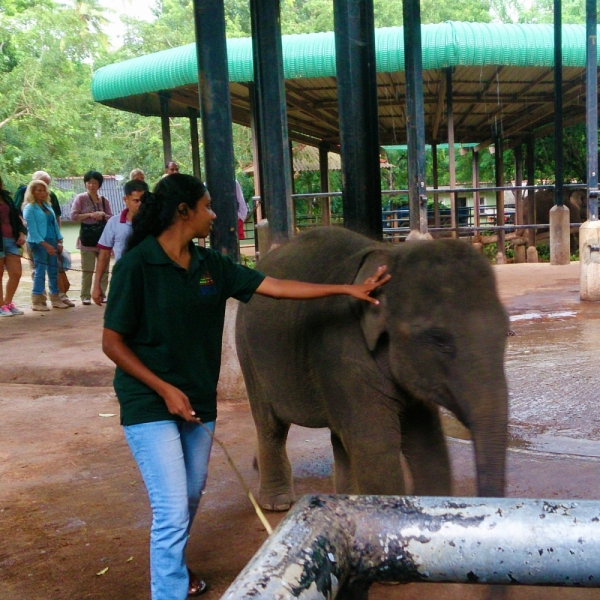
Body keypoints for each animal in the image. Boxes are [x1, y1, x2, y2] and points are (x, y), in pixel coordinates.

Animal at [237, 227, 508, 508]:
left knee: (339, 436)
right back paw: (277, 503)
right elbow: (376, 445)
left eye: (507, 332)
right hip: (247, 350)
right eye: (439, 339)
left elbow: (428, 441)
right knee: (270, 425)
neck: (392, 254)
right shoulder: (342, 348)